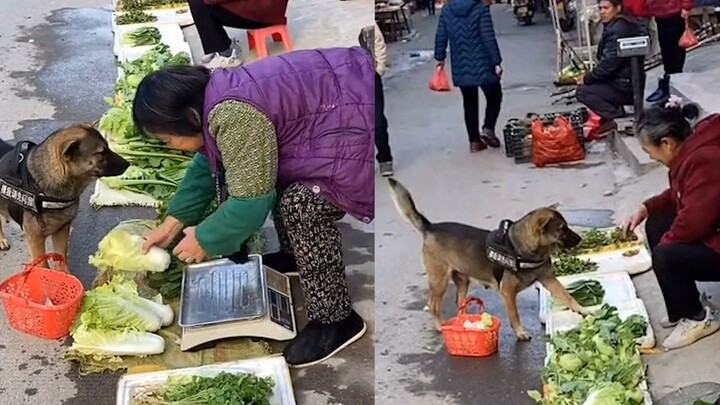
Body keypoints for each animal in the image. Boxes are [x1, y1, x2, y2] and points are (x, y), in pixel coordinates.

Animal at [0, 124, 128, 262]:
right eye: (101, 152)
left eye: (108, 147)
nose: (128, 163)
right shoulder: (35, 240)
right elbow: (43, 264)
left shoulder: (61, 231)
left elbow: (61, 258)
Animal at [390, 178, 588, 340]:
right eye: (562, 229)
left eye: (566, 226)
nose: (580, 239)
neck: (522, 247)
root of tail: (430, 227)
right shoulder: (508, 293)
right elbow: (514, 316)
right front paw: (520, 332)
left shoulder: (549, 280)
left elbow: (568, 297)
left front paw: (583, 310)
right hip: (439, 281)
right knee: (433, 305)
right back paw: (441, 326)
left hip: (462, 281)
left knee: (459, 303)